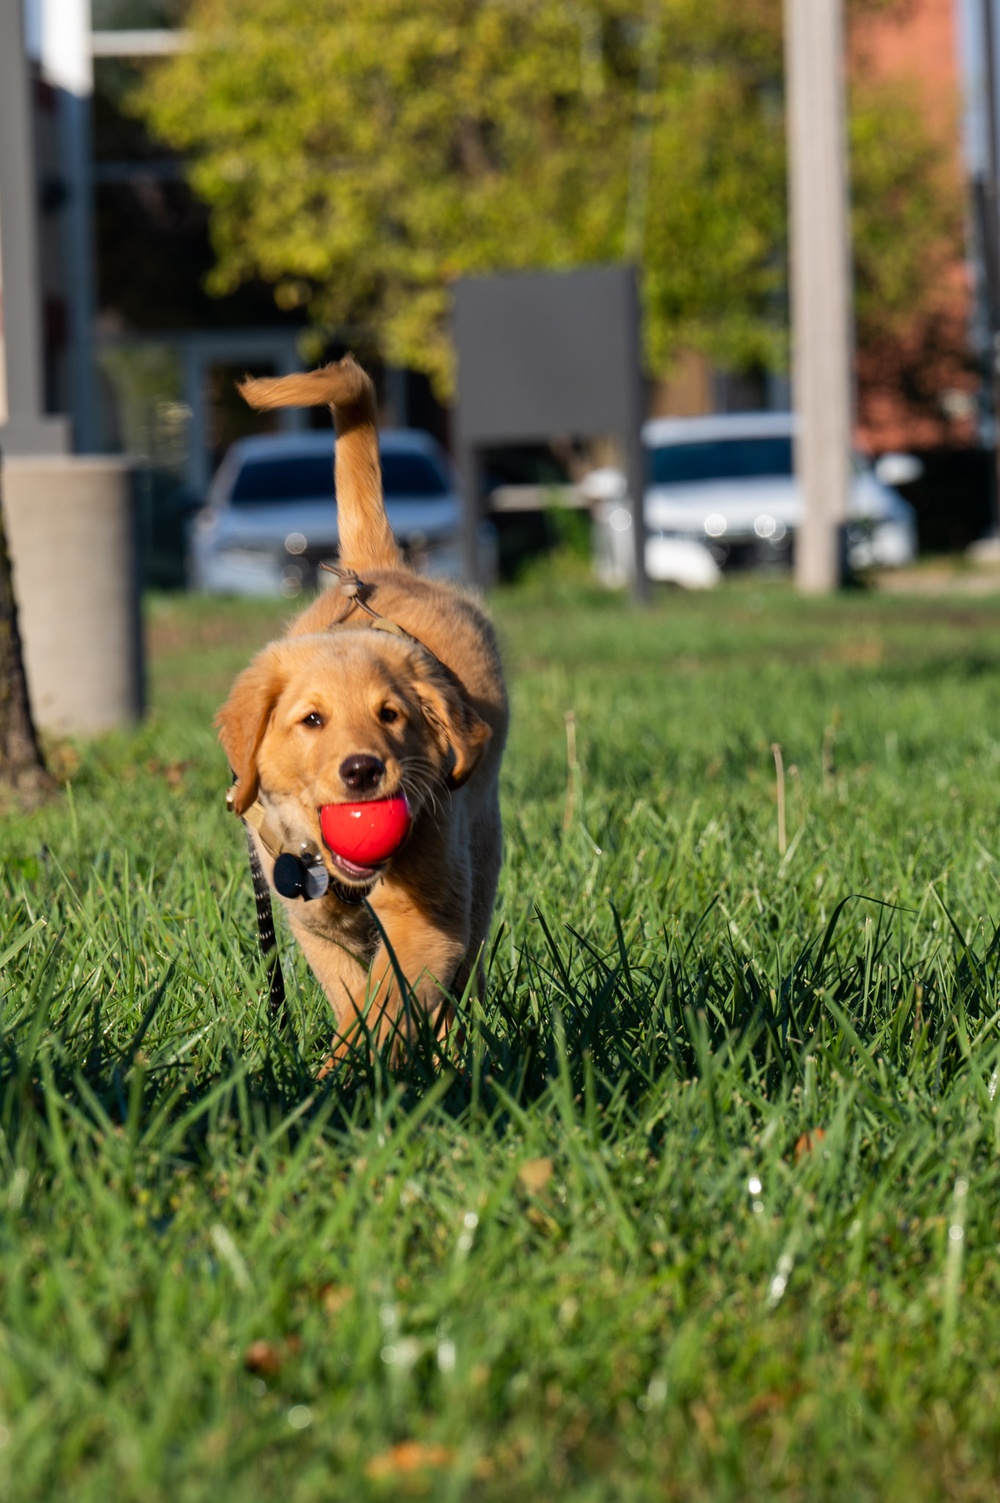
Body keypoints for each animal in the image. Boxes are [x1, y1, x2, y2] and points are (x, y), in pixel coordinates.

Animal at [213, 354, 502, 1058]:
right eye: (311, 720)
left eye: (391, 716)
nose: (363, 771)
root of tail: (378, 568)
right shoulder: (311, 919)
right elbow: (352, 998)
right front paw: (339, 1065)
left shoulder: (430, 919)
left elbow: (391, 1000)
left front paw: (359, 1069)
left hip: (482, 853)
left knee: (470, 962)